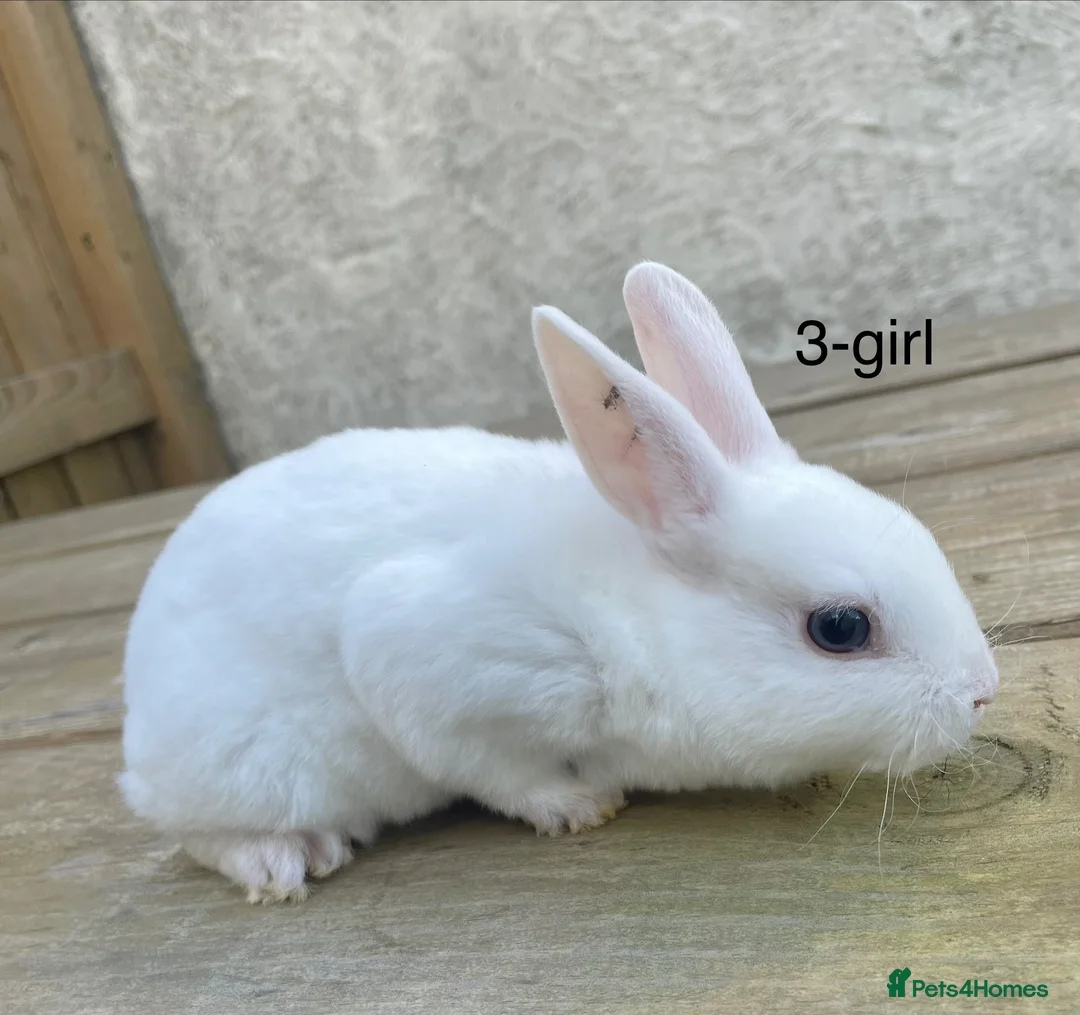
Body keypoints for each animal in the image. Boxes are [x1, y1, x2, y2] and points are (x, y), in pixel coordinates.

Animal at [119, 261, 998, 903]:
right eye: (840, 628)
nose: (982, 692)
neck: (634, 613)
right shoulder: (430, 658)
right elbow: (490, 767)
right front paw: (579, 805)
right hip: (243, 765)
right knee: (194, 829)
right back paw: (285, 861)